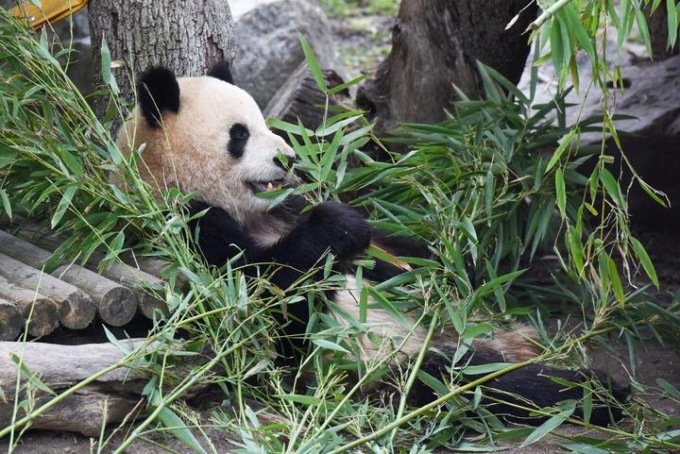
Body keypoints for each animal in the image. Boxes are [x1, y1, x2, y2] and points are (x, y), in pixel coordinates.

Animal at [115, 61, 627, 426]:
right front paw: (339, 226)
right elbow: (264, 293)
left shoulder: (285, 206)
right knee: (466, 379)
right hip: (390, 361)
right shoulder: (187, 229)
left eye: (264, 122)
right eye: (239, 135)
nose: (289, 158)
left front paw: (451, 265)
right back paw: (590, 390)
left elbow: (395, 249)